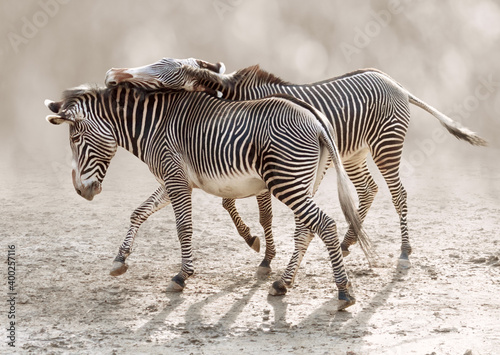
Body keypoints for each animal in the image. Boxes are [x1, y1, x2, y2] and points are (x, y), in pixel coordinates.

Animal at [46, 82, 376, 308]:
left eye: (76, 138)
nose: (81, 191)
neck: (154, 125)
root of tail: (317, 119)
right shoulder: (174, 179)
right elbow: (139, 211)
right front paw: (120, 259)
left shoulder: (176, 179)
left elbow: (183, 227)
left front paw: (182, 275)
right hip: (306, 182)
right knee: (306, 230)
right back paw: (283, 283)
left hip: (287, 181)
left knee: (325, 225)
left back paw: (344, 291)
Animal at [103, 58, 486, 270]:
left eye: (159, 73)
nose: (111, 74)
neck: (235, 100)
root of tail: (395, 82)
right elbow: (229, 201)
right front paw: (255, 242)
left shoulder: (255, 161)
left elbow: (260, 213)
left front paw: (263, 253)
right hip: (354, 153)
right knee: (368, 190)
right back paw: (347, 242)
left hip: (385, 147)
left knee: (398, 193)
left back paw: (404, 252)